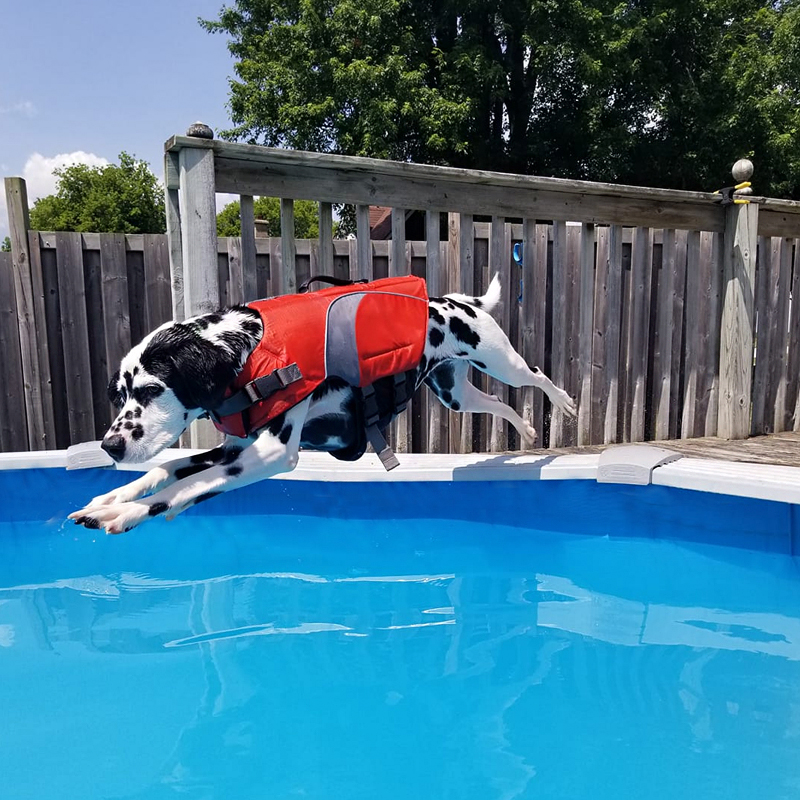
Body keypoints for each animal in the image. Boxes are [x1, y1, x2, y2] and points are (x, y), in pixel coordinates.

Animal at [69, 278, 576, 536]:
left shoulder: (270, 455)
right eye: (120, 394)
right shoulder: (235, 450)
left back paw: (565, 405)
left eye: (151, 389)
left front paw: (126, 513)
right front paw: (110, 498)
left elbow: (183, 487)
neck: (248, 349)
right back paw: (528, 435)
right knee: (496, 402)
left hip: (503, 362)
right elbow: (166, 470)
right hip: (455, 395)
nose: (110, 446)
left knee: (536, 375)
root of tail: (456, 301)